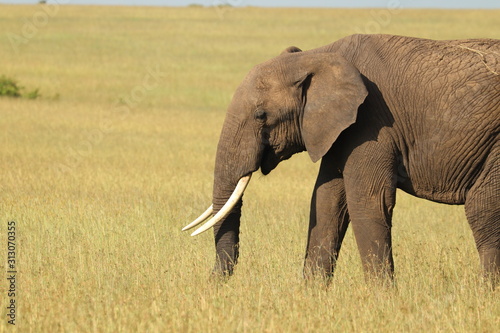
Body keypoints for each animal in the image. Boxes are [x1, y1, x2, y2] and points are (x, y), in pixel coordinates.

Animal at [184, 33, 500, 282]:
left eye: (261, 115)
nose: (212, 283)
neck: (318, 56)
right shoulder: (337, 129)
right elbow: (326, 201)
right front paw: (311, 295)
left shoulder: (371, 123)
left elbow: (368, 200)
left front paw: (382, 300)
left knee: (482, 211)